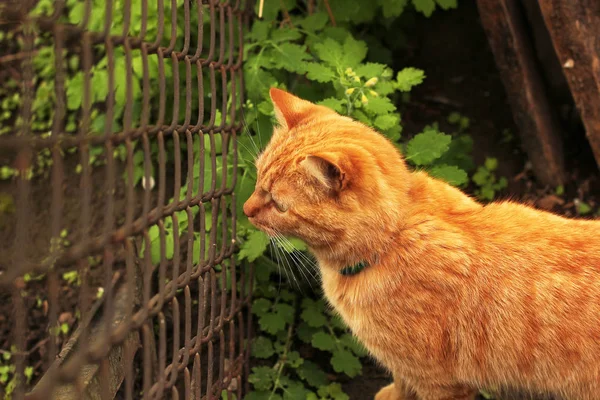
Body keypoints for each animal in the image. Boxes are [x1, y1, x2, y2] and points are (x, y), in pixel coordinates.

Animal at [243, 88, 600, 400]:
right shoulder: (405, 366)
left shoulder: (440, 382)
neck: (391, 240)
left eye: (279, 205)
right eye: (258, 179)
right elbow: (401, 382)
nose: (245, 210)